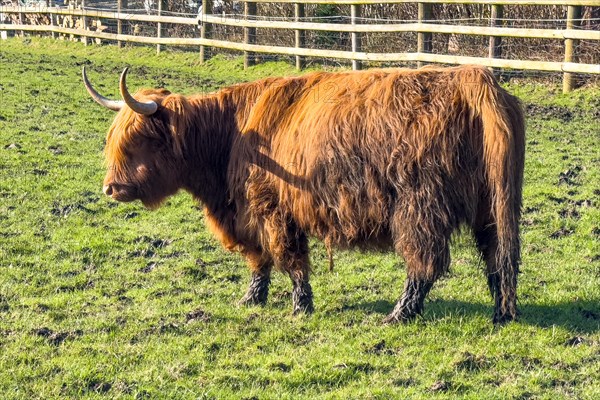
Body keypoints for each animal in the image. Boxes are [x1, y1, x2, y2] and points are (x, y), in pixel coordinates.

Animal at [84, 64, 524, 324]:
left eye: (140, 139)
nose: (111, 188)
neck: (232, 135)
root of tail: (474, 78)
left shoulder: (272, 209)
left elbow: (290, 259)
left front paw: (300, 306)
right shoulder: (250, 214)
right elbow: (258, 260)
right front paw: (252, 299)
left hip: (419, 207)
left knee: (425, 264)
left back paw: (399, 314)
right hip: (495, 205)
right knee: (499, 258)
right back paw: (502, 313)